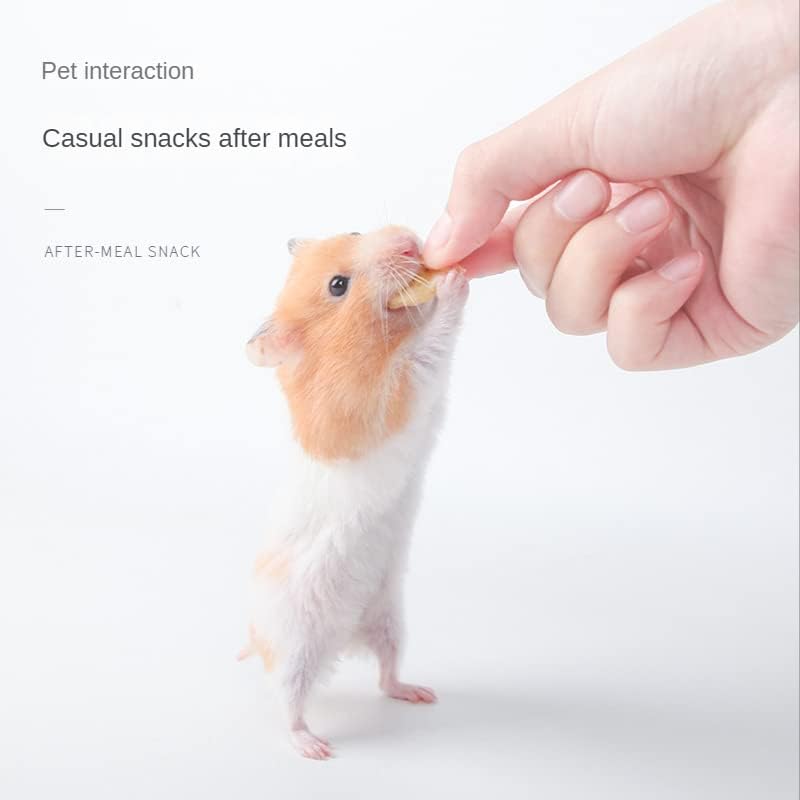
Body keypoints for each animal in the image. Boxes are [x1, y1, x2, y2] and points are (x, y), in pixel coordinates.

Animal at [241, 225, 468, 759]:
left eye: (355, 231)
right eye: (338, 286)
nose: (409, 242)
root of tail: (344, 638)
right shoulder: (388, 398)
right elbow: (429, 350)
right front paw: (453, 280)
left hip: (389, 620)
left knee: (386, 676)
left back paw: (419, 693)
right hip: (294, 647)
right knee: (288, 701)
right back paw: (314, 747)